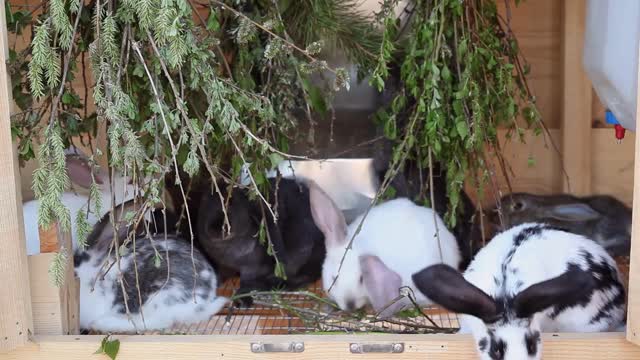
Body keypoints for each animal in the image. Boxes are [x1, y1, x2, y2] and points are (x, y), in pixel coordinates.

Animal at [198, 177, 328, 304]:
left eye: (230, 204)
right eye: (205, 203)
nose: (215, 229)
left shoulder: (253, 267)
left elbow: (246, 280)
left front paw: (242, 297)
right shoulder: (223, 266)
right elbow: (220, 275)